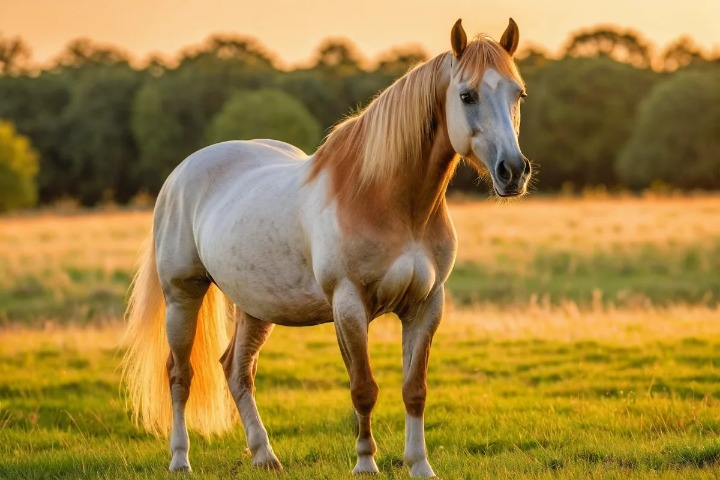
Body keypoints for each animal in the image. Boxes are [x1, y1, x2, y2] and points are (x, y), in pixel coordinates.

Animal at [121, 18, 531, 478]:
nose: (513, 171)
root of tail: (181, 173)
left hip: (256, 306)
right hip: (182, 294)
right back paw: (180, 458)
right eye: (466, 95)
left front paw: (420, 465)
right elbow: (363, 388)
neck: (387, 201)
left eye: (517, 93)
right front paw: (365, 463)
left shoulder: (426, 305)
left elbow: (415, 389)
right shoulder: (349, 305)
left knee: (236, 370)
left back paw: (264, 455)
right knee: (180, 373)